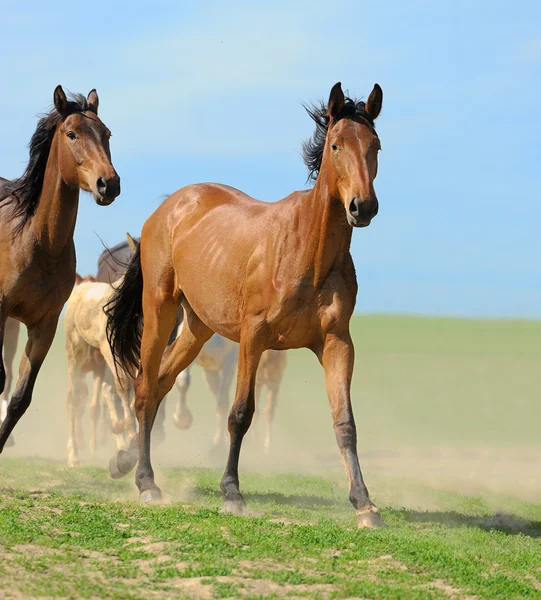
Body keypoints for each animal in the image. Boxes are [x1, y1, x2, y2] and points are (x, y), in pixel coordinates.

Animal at [0, 83, 119, 450]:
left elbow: (20, 397)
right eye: (71, 134)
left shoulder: (45, 325)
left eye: (107, 134)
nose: (109, 183)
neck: (38, 244)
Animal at [105, 82, 384, 528]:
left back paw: (123, 460)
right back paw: (146, 482)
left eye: (375, 145)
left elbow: (345, 423)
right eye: (336, 145)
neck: (308, 252)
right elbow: (240, 414)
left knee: (162, 381)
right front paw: (232, 492)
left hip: (197, 328)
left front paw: (364, 503)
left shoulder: (337, 342)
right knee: (146, 387)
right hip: (160, 309)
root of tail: (168, 207)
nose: (363, 206)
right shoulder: (254, 337)